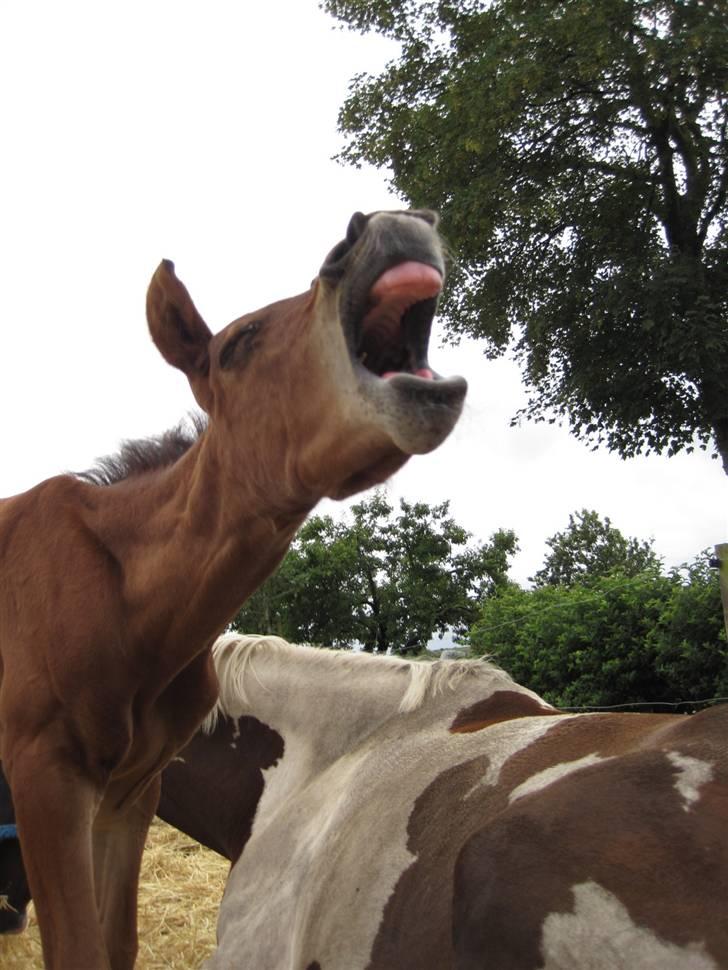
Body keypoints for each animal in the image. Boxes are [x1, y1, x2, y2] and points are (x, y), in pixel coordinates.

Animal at [0, 212, 466, 968]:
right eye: (238, 343)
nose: (390, 225)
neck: (129, 603)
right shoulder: (45, 775)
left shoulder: (129, 793)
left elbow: (117, 943)